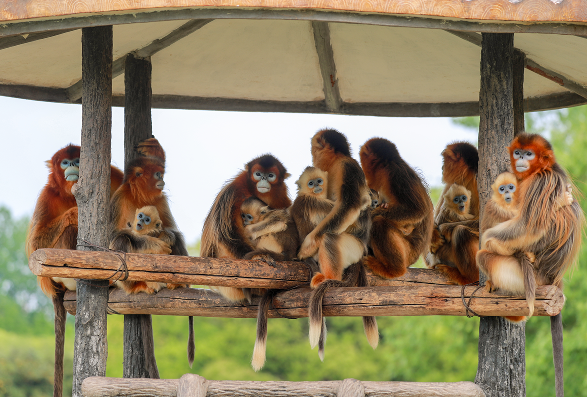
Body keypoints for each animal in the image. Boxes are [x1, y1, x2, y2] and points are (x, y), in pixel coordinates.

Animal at [25, 144, 123, 396]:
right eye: (64, 163)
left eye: (77, 160)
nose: (72, 167)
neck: (70, 193)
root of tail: (55, 288)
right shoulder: (47, 195)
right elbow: (35, 246)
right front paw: (73, 213)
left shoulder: (114, 175)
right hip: (56, 274)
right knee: (68, 231)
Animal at [201, 153, 290, 302]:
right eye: (258, 174)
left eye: (270, 175)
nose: (263, 179)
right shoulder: (231, 192)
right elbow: (226, 233)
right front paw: (256, 256)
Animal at [478, 133, 584, 396]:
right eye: (518, 152)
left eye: (529, 153)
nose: (521, 160)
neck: (543, 169)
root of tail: (554, 278)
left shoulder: (540, 183)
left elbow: (528, 226)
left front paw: (488, 239)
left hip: (524, 277)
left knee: (485, 255)